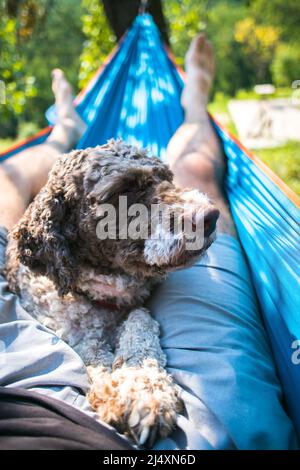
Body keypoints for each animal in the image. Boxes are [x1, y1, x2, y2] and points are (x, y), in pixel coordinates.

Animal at [5, 138, 219, 446]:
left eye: (166, 177)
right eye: (122, 190)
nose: (210, 216)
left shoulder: (135, 308)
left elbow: (140, 323)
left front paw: (144, 390)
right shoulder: (73, 333)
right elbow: (94, 354)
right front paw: (136, 394)